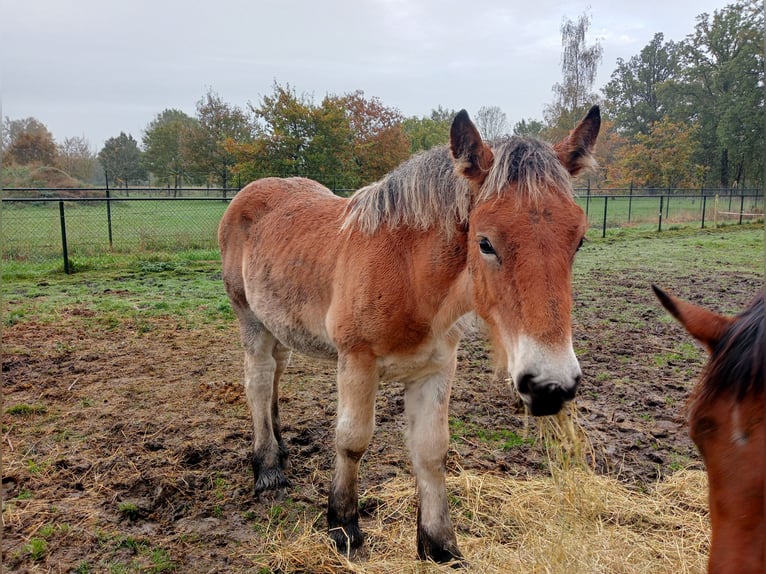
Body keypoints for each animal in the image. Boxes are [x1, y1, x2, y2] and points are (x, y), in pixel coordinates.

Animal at [219, 107, 604, 564]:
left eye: (578, 240)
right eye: (485, 243)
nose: (551, 386)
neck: (410, 276)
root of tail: (249, 193)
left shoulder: (436, 369)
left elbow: (431, 451)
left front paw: (439, 545)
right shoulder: (356, 362)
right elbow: (351, 441)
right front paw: (343, 528)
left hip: (279, 324)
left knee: (276, 374)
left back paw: (279, 448)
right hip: (250, 320)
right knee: (258, 381)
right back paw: (267, 467)